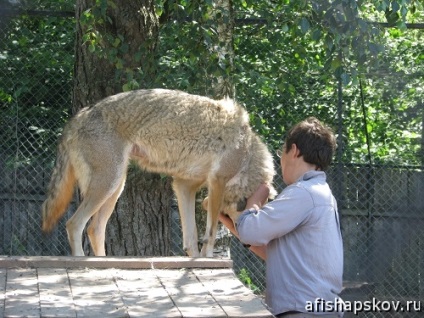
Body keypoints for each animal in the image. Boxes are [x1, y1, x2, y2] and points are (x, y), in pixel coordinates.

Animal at [41, 88, 276, 258]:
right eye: (228, 216)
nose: (250, 242)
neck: (248, 152)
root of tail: (77, 117)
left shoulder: (183, 186)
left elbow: (191, 237)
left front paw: (195, 261)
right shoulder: (217, 181)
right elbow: (209, 234)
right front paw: (208, 260)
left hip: (116, 187)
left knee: (94, 229)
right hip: (108, 184)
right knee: (74, 224)